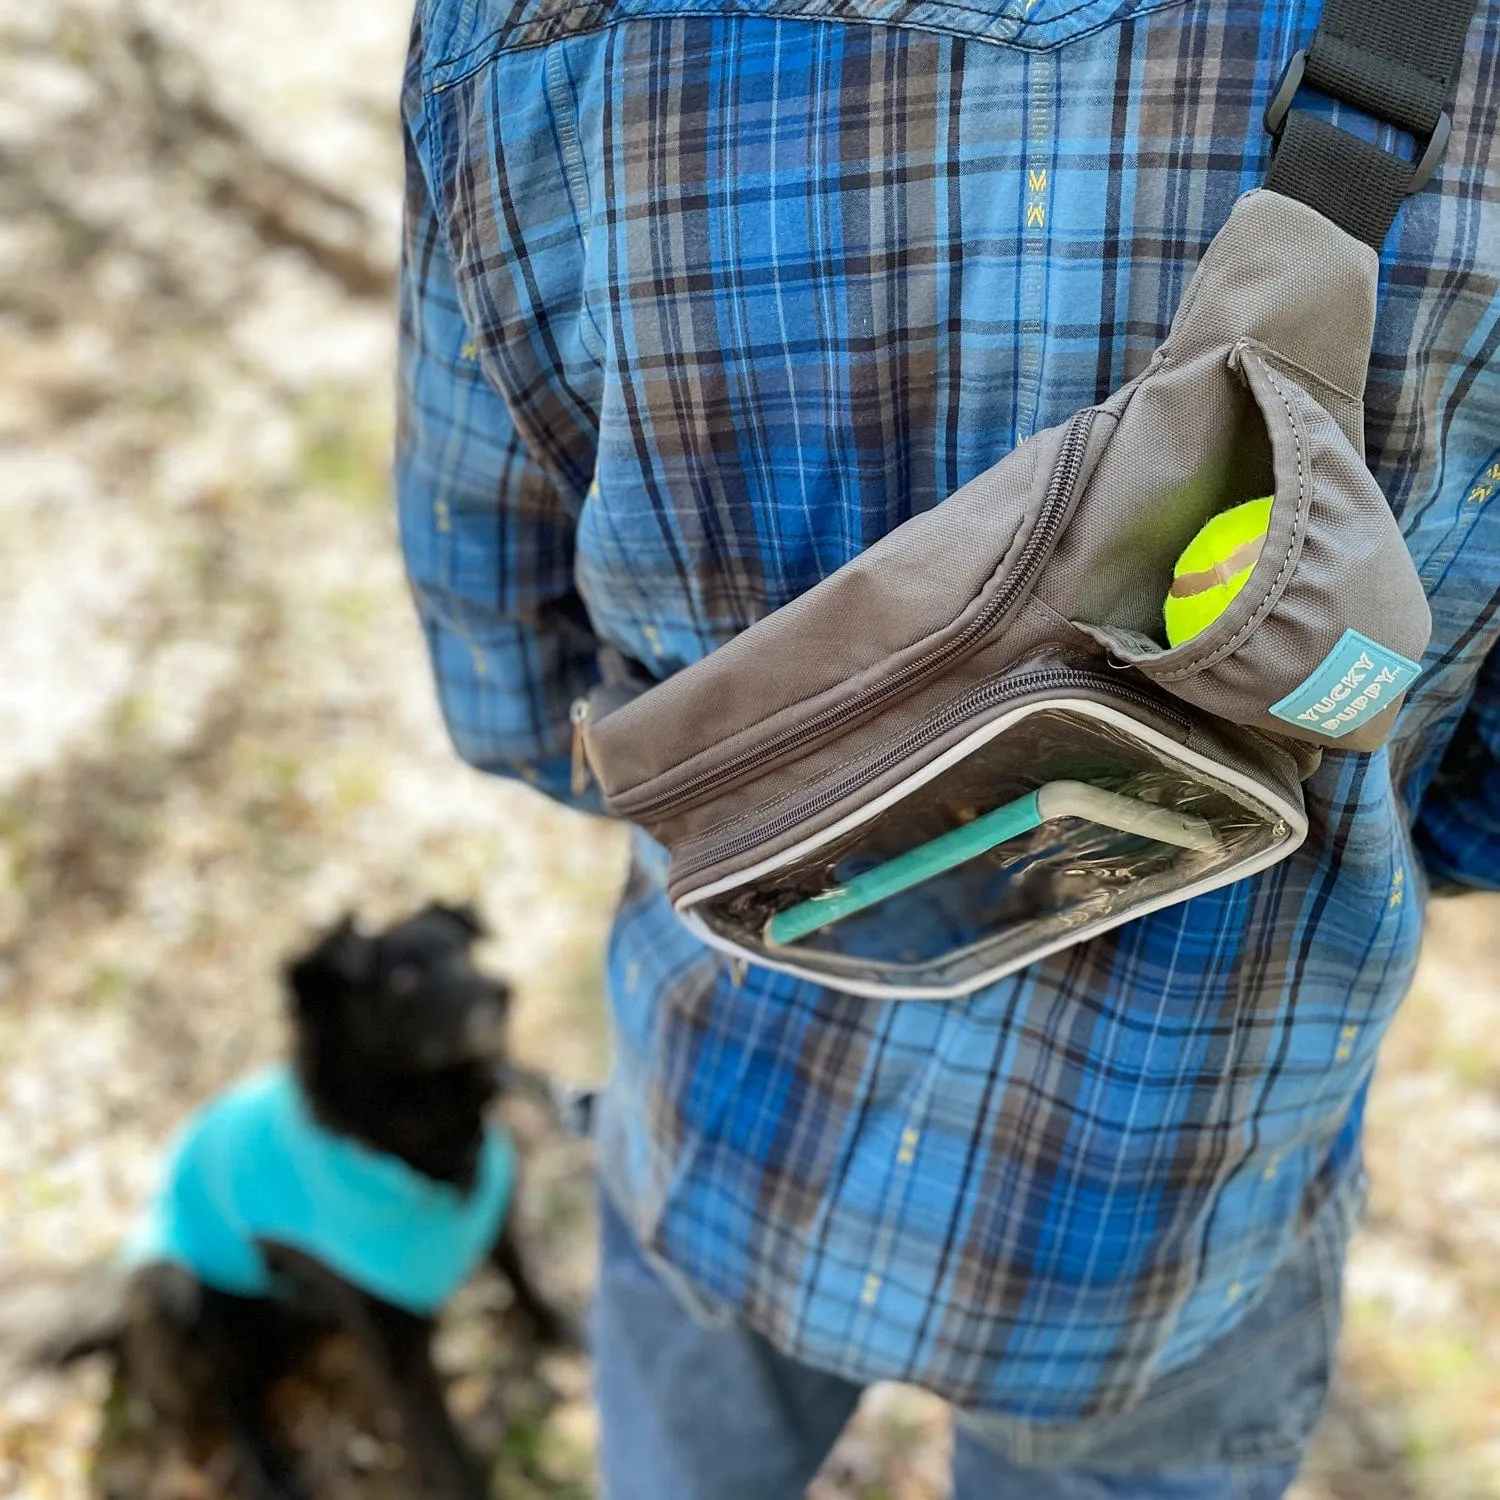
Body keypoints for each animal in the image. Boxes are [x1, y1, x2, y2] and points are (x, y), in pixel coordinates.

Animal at [20, 900, 570, 1500]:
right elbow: (443, 1452)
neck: (408, 1144)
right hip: (174, 1291)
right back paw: (270, 1473)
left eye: (465, 951)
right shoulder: (393, 1347)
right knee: (232, 1400)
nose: (501, 991)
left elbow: (526, 1282)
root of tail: (114, 1305)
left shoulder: (495, 1220)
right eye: (404, 978)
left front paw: (565, 1336)